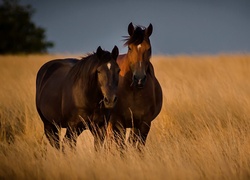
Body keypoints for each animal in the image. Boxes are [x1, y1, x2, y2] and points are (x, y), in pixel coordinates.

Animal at [108, 22, 163, 152]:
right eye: (129, 48)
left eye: (148, 48)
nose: (139, 79)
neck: (133, 91)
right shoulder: (119, 122)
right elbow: (121, 147)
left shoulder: (144, 123)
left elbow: (138, 147)